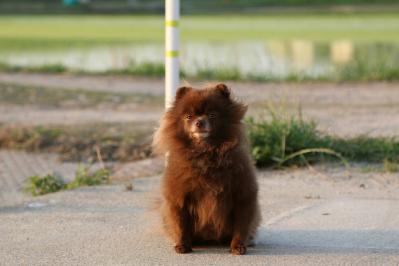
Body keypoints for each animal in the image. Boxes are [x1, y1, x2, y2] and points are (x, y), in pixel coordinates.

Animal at [152, 84, 260, 255]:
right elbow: (181, 223)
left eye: (212, 115)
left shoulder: (242, 193)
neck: (206, 152)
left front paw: (238, 246)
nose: (199, 122)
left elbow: (241, 225)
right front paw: (182, 245)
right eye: (189, 116)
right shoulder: (179, 196)